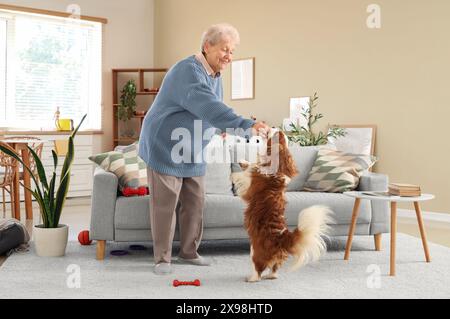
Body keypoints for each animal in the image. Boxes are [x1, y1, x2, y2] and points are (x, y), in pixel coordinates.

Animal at [230, 130, 332, 282]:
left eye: (276, 135)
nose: (272, 128)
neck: (277, 168)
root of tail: (282, 238)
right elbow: (251, 165)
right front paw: (244, 162)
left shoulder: (249, 188)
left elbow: (245, 175)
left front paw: (236, 173)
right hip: (275, 257)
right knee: (275, 268)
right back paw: (271, 275)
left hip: (255, 252)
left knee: (258, 269)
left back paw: (252, 278)